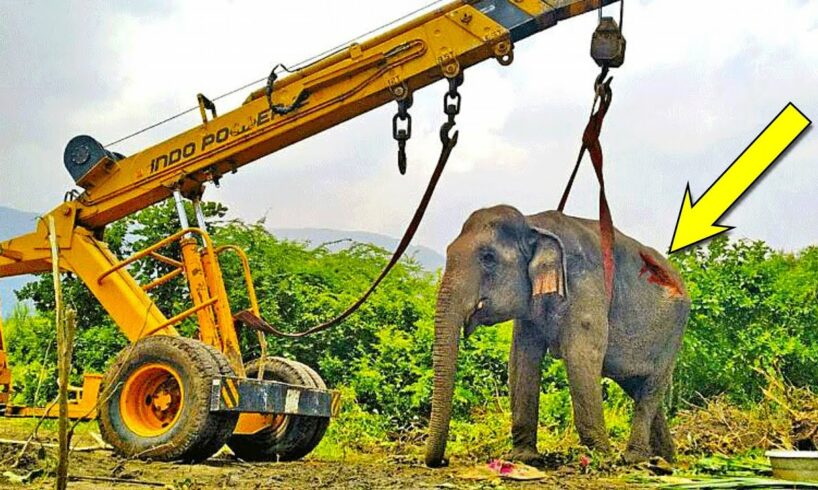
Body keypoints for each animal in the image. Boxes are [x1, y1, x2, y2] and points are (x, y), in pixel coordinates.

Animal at [428, 206, 688, 468]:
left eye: (488, 258)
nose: (443, 461)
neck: (533, 223)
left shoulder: (585, 286)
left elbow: (581, 356)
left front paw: (603, 458)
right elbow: (522, 360)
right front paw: (525, 458)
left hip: (673, 334)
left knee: (651, 387)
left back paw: (634, 458)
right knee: (636, 387)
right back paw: (665, 459)